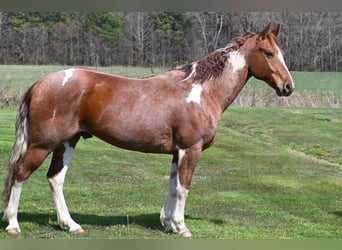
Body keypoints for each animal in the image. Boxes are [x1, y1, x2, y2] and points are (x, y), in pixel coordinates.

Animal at [2, 22, 294, 237]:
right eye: (268, 53)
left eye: (282, 53)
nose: (288, 87)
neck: (202, 91)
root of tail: (39, 84)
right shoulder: (191, 149)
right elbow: (184, 187)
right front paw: (182, 227)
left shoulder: (177, 152)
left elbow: (173, 185)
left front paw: (168, 223)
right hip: (42, 145)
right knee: (20, 173)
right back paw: (13, 224)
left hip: (67, 142)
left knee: (55, 178)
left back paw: (70, 225)